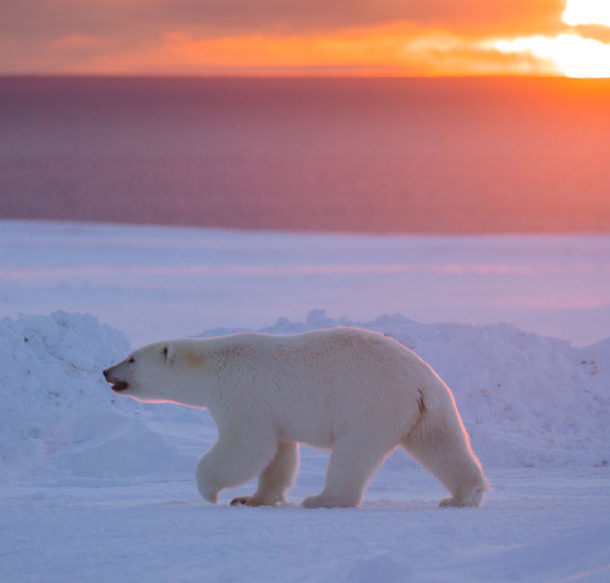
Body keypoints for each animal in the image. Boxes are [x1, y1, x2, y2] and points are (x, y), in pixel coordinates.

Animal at [103, 330, 484, 508]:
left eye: (131, 358)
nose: (106, 371)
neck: (211, 365)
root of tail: (422, 381)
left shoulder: (243, 395)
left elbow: (246, 446)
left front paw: (210, 491)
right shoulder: (274, 410)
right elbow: (277, 454)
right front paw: (252, 499)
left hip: (372, 403)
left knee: (353, 453)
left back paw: (323, 498)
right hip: (429, 410)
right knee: (442, 445)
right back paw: (462, 496)